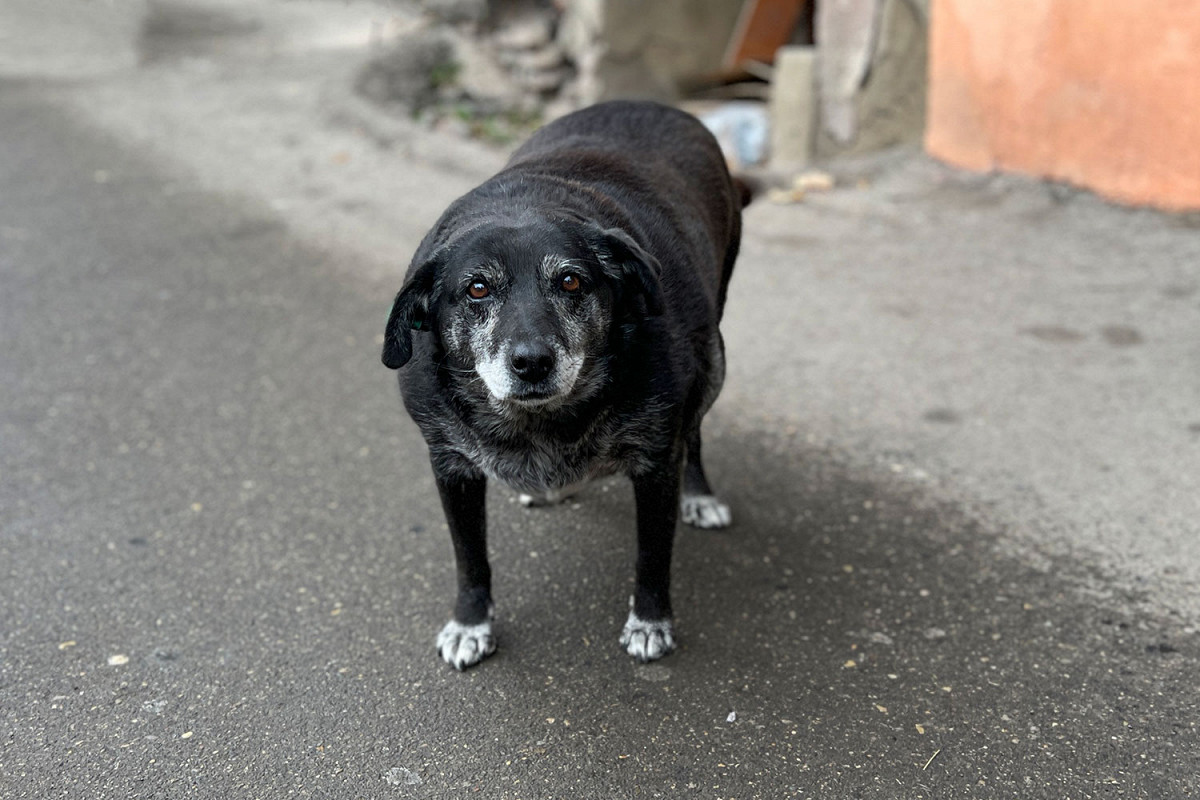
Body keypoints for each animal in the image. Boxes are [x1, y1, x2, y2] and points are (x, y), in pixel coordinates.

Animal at [381, 100, 748, 669]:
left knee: (696, 430)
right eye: (477, 288)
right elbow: (470, 558)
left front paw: (650, 622)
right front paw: (470, 624)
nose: (531, 362)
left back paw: (700, 495)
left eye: (571, 280)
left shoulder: (656, 464)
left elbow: (652, 555)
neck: (541, 422)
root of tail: (652, 103)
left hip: (716, 359)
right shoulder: (450, 467)